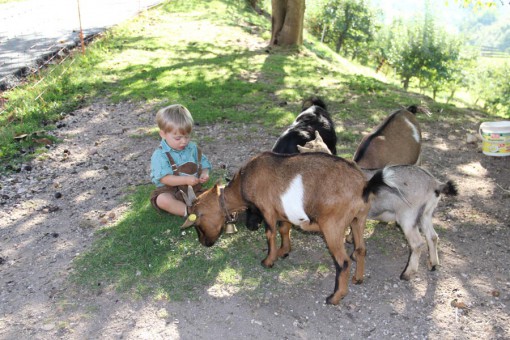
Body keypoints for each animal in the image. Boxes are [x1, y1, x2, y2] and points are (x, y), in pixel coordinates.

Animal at [181, 152, 384, 306]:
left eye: (198, 224)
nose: (204, 243)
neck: (244, 182)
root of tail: (363, 185)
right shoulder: (283, 213)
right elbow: (284, 230)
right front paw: (284, 251)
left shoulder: (267, 211)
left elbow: (270, 234)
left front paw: (268, 261)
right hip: (358, 220)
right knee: (361, 249)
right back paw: (358, 279)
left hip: (332, 226)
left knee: (343, 262)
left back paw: (334, 297)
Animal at [298, 134, 458, 280]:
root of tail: (435, 184)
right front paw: (351, 242)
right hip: (426, 213)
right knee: (433, 236)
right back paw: (433, 264)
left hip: (408, 217)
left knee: (417, 243)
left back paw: (407, 274)